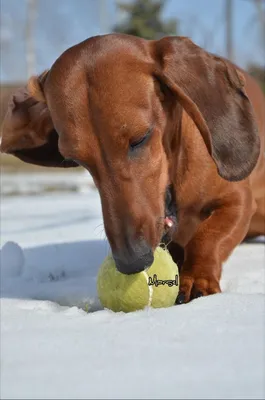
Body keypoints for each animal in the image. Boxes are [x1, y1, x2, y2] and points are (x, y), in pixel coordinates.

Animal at [1, 35, 262, 304]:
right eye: (76, 160)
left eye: (140, 139)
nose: (132, 262)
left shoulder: (238, 201)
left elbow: (207, 237)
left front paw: (196, 277)